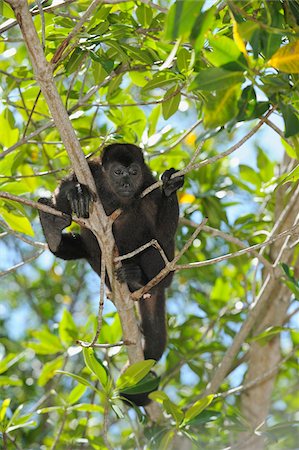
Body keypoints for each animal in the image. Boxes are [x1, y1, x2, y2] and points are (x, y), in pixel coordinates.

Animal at [38, 145, 184, 404]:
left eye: (134, 172)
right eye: (118, 172)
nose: (126, 183)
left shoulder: (148, 186)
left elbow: (163, 235)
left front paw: (169, 188)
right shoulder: (90, 169)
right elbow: (65, 194)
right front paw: (75, 194)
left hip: (165, 275)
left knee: (154, 247)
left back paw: (137, 278)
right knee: (87, 244)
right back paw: (52, 231)